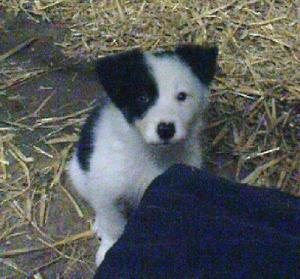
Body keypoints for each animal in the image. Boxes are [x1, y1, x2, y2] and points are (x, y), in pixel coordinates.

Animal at [67, 44, 218, 266]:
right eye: (142, 98)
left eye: (182, 96)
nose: (166, 129)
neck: (152, 154)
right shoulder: (106, 191)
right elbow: (113, 224)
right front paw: (108, 249)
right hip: (79, 175)